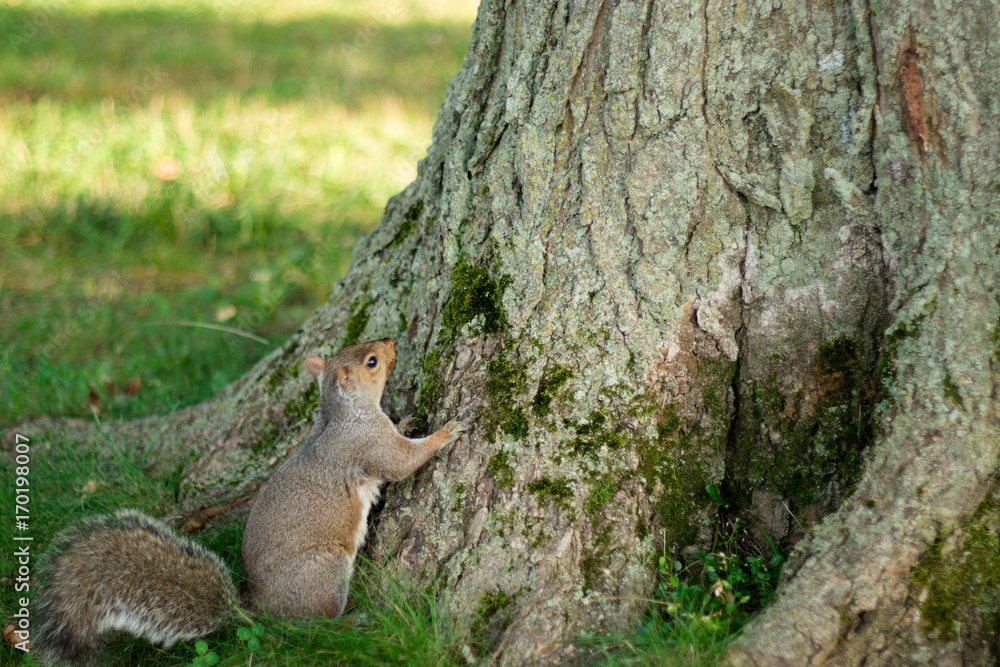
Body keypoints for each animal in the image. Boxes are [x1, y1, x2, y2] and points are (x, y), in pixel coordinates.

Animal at [32, 337, 470, 665]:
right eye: (372, 361)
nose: (391, 341)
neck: (341, 415)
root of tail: (259, 608)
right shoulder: (368, 445)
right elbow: (402, 463)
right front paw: (446, 432)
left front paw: (409, 422)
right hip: (324, 571)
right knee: (312, 627)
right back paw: (348, 622)